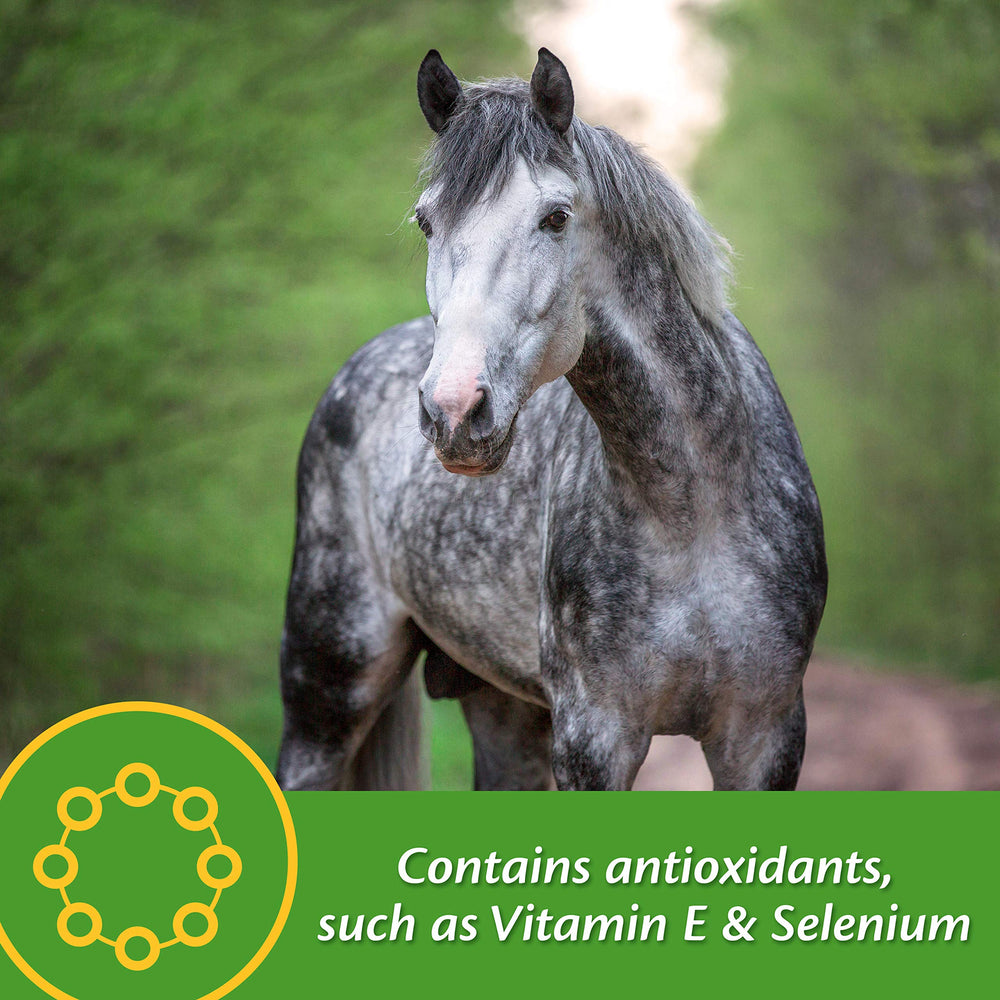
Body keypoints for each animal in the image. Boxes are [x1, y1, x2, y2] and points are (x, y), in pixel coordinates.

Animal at [275, 48, 827, 791]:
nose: (453, 411)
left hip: (502, 713)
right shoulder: (594, 739)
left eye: (557, 217)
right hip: (327, 695)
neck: (694, 512)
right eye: (425, 221)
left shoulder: (765, 738)